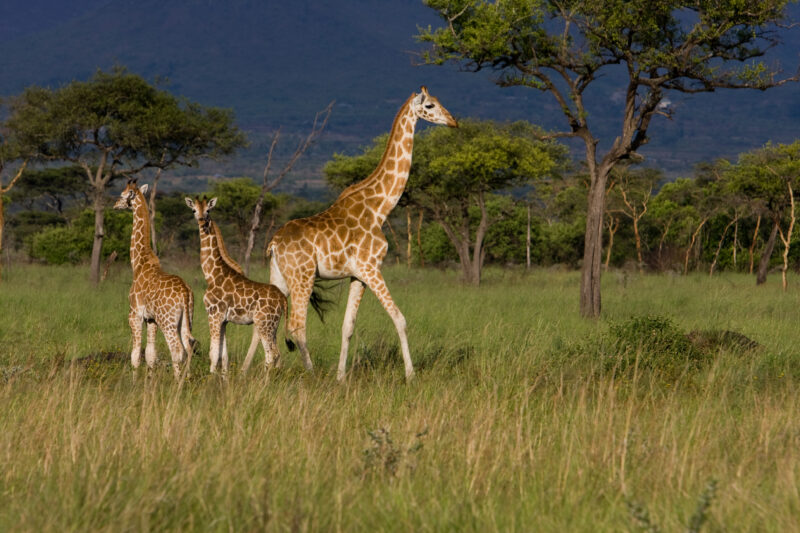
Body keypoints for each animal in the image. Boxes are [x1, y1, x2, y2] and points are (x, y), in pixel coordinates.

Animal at [114, 181, 196, 378]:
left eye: (122, 194)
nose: (114, 204)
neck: (139, 262)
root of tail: (185, 292)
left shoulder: (134, 314)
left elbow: (136, 354)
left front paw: (134, 381)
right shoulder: (151, 319)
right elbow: (151, 354)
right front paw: (148, 381)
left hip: (168, 321)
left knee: (177, 349)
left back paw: (177, 381)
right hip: (186, 319)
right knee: (189, 345)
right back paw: (187, 379)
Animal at [185, 196, 290, 374]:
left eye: (208, 210)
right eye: (194, 210)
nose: (201, 220)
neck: (212, 275)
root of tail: (282, 299)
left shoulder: (214, 314)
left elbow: (213, 352)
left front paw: (211, 378)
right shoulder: (224, 320)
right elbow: (223, 355)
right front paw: (223, 377)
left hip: (264, 323)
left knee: (271, 355)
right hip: (273, 325)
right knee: (277, 355)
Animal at [267, 86, 457, 381]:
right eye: (430, 105)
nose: (453, 122)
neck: (380, 208)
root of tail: (274, 243)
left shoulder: (358, 276)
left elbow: (347, 326)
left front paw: (341, 377)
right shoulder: (371, 268)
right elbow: (400, 319)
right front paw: (411, 375)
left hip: (280, 277)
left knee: (265, 324)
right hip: (302, 277)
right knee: (296, 327)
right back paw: (311, 375)